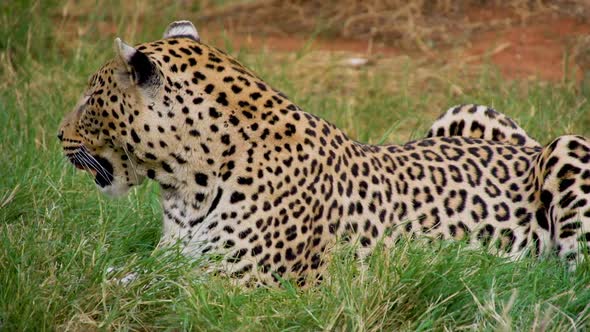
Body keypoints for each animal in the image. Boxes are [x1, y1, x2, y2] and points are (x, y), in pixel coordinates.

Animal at [56, 20, 590, 286]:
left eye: (90, 99)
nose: (58, 135)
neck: (184, 186)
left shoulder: (244, 282)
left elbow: (151, 285)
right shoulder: (172, 255)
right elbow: (126, 271)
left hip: (568, 149)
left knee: (569, 284)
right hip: (463, 114)